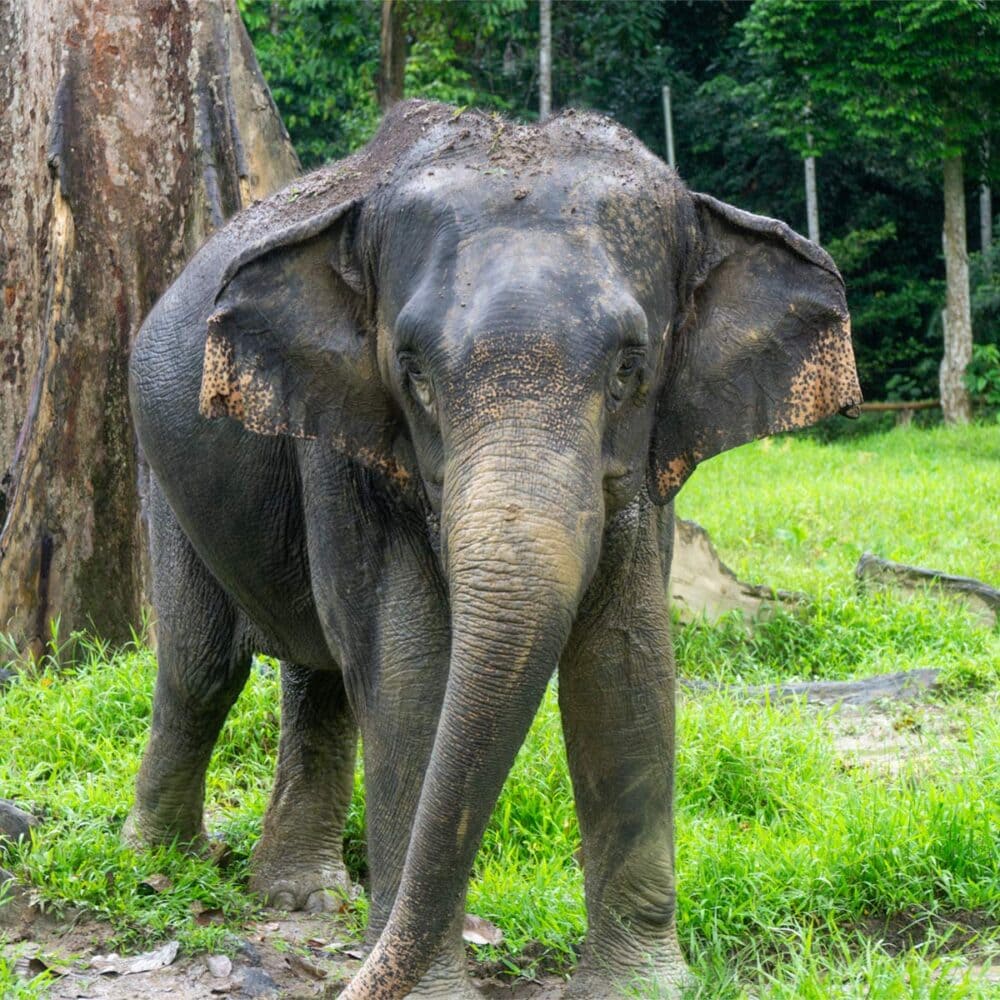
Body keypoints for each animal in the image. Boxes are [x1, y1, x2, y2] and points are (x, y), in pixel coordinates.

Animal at [126, 100, 862, 999]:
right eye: (414, 374)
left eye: (630, 369)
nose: (353, 985)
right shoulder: (348, 444)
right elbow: (408, 663)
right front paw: (434, 990)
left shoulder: (643, 472)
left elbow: (626, 664)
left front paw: (638, 987)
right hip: (162, 473)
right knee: (202, 667)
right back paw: (163, 867)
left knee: (318, 676)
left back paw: (301, 898)